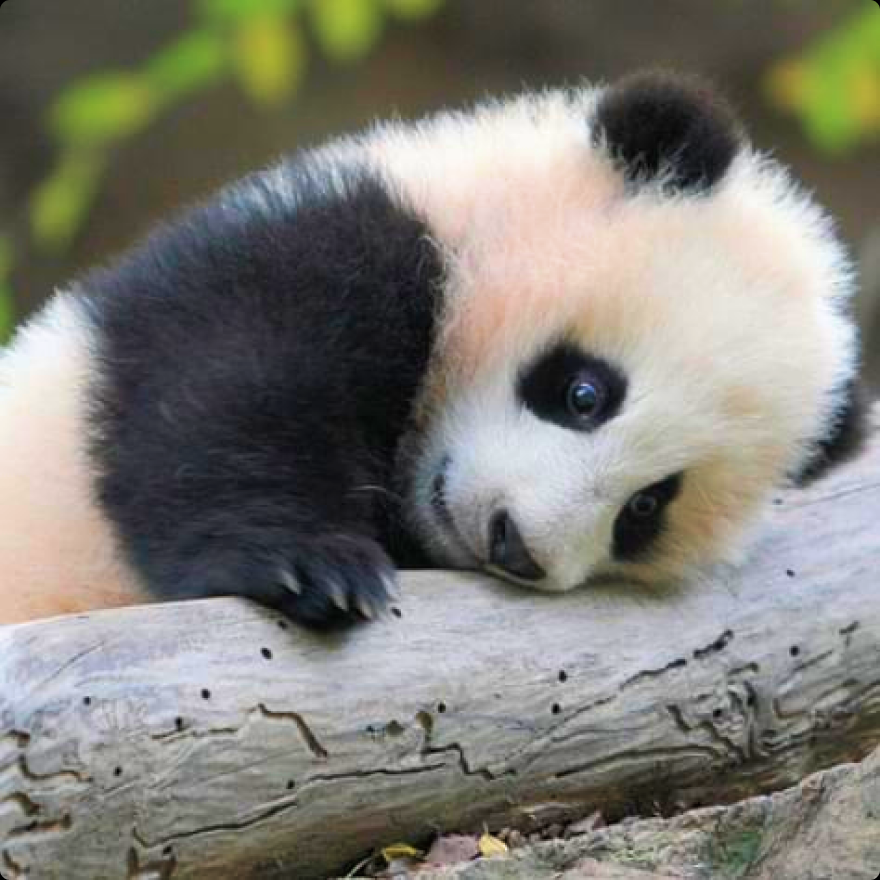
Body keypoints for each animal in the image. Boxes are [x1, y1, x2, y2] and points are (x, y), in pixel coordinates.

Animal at [0, 71, 866, 629]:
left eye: (647, 508)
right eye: (584, 393)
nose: (515, 544)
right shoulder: (331, 240)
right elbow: (221, 388)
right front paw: (311, 563)